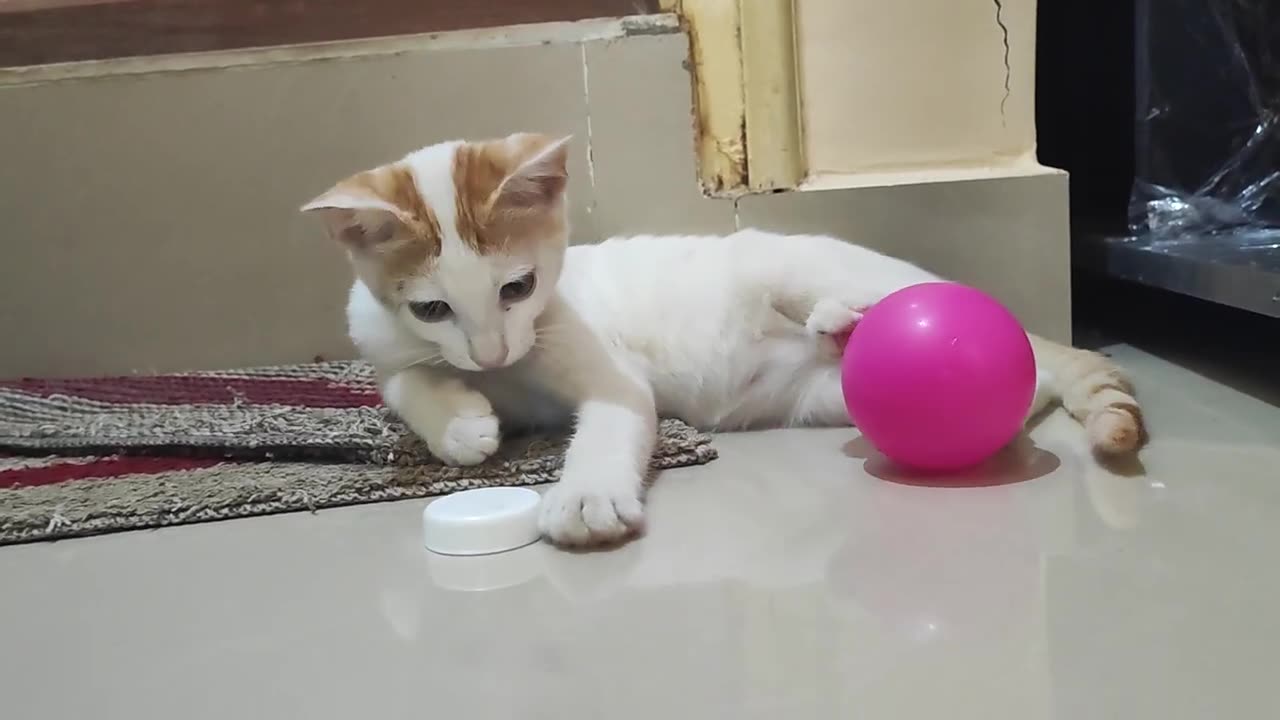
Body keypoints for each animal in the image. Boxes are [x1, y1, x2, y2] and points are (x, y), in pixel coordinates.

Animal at [304, 133, 1146, 543]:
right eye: (432, 309)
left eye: (518, 288)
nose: (491, 355)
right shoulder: (382, 339)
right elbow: (402, 381)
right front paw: (461, 425)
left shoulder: (608, 376)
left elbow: (611, 421)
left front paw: (586, 496)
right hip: (830, 397)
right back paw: (844, 331)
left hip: (803, 265)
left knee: (1021, 367)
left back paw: (845, 315)